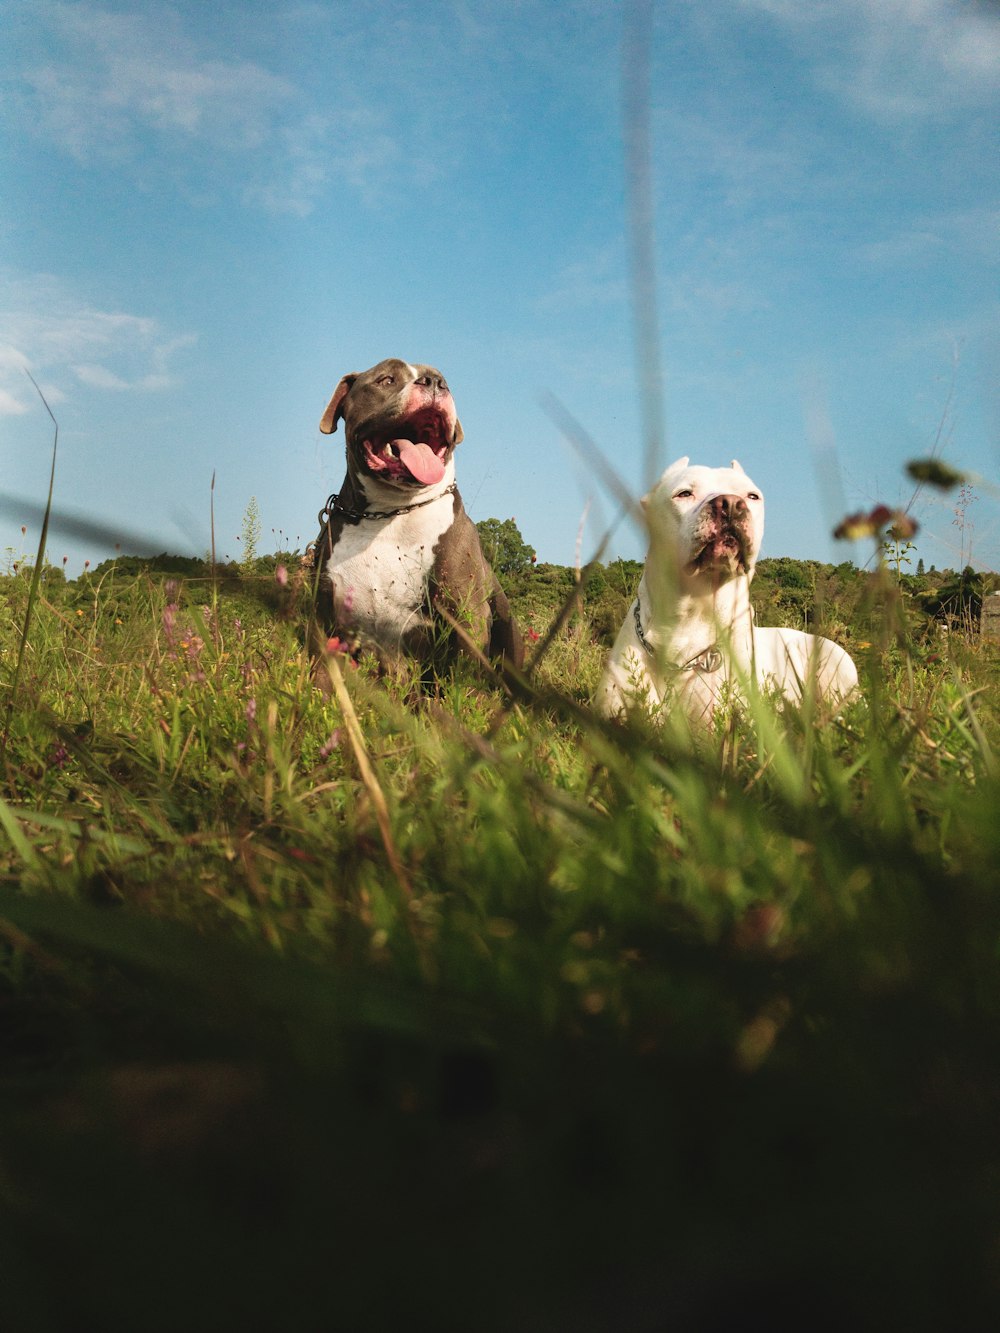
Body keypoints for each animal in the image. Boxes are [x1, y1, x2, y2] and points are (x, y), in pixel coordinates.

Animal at [312, 357, 525, 677]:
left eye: (443, 380)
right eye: (386, 380)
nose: (435, 384)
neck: (390, 512)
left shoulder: (467, 611)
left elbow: (465, 677)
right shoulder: (327, 610)